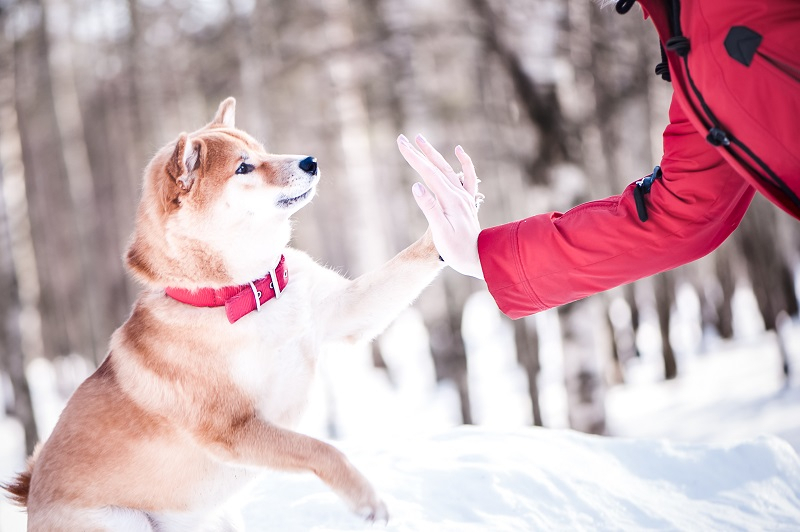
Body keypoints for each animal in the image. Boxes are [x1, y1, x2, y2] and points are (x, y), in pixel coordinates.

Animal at [4, 97, 450, 528]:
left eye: (262, 150)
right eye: (243, 167)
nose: (311, 161)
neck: (245, 294)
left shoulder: (346, 311)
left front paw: (448, 216)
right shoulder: (233, 430)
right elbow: (320, 449)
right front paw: (364, 497)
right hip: (123, 523)